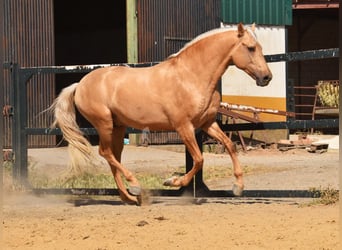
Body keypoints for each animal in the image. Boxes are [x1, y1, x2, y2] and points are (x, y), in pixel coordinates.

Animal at [52, 23, 272, 204]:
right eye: (250, 48)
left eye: (260, 47)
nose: (266, 77)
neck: (191, 76)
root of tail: (80, 84)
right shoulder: (184, 127)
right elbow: (199, 159)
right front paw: (173, 182)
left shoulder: (207, 124)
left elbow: (230, 146)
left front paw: (238, 187)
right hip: (104, 124)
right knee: (105, 152)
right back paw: (135, 186)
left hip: (118, 127)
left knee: (114, 157)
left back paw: (130, 197)